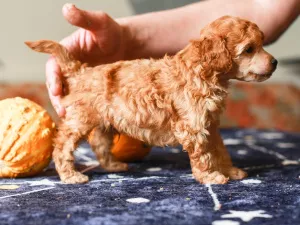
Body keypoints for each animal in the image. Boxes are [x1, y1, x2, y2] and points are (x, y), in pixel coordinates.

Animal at [25, 15, 276, 185]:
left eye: (261, 43)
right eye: (249, 49)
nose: (274, 62)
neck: (202, 71)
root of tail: (80, 71)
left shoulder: (210, 124)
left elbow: (220, 149)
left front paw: (230, 171)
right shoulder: (193, 127)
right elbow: (204, 155)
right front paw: (211, 176)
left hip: (105, 121)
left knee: (99, 143)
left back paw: (113, 165)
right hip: (80, 119)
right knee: (62, 146)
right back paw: (71, 176)